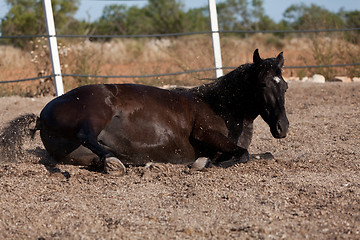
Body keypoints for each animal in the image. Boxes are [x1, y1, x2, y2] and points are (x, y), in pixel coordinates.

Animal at [33, 49, 288, 175]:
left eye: (285, 86)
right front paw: (203, 163)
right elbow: (242, 154)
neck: (220, 106)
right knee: (85, 135)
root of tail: (43, 115)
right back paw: (116, 163)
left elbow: (261, 154)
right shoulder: (205, 134)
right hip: (95, 114)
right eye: (263, 85)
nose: (282, 128)